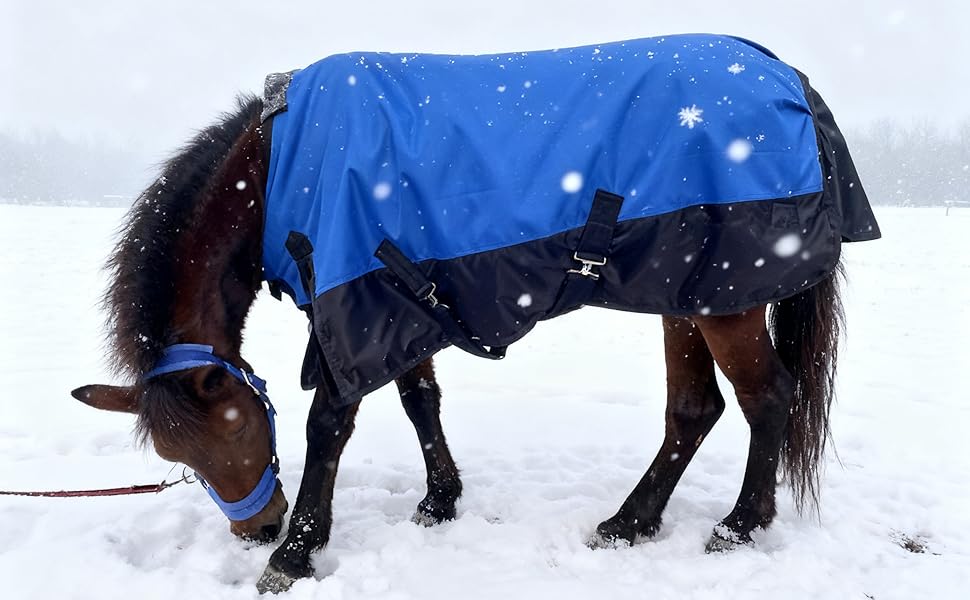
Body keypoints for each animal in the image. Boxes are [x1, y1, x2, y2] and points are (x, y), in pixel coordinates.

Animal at [71, 34, 880, 593]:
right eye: (177, 457)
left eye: (237, 427)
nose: (255, 527)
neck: (277, 168)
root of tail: (785, 76)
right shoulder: (396, 304)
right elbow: (419, 400)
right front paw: (439, 500)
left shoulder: (353, 303)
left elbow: (329, 424)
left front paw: (297, 550)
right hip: (687, 295)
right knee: (695, 409)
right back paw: (631, 522)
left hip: (726, 301)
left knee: (766, 398)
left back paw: (740, 526)